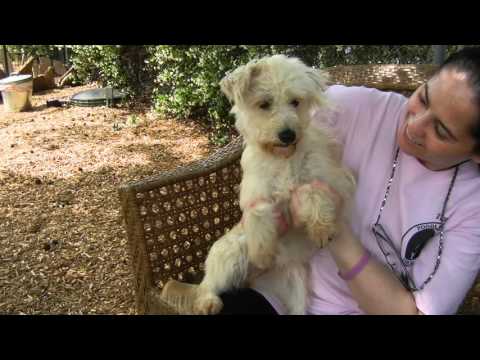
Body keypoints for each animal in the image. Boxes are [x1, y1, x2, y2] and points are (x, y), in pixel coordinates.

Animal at [159, 54, 354, 316]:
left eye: (295, 102)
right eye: (264, 104)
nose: (288, 135)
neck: (282, 158)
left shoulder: (327, 178)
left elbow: (312, 191)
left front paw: (321, 229)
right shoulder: (256, 196)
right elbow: (260, 218)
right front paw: (262, 254)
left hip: (296, 284)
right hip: (231, 252)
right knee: (207, 285)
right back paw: (208, 302)